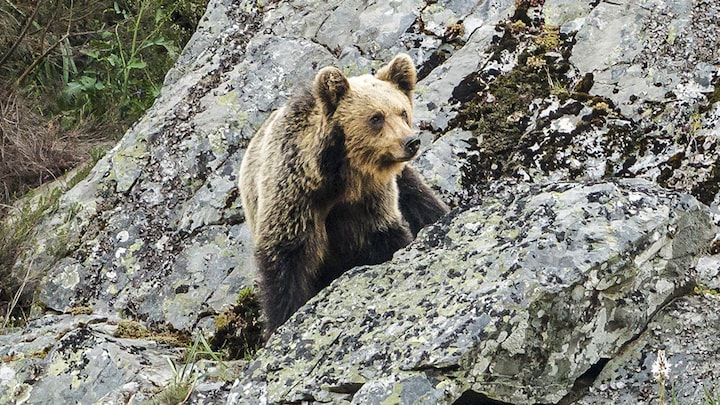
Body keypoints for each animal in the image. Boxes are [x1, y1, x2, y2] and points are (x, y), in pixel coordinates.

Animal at [239, 54, 448, 338]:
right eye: (376, 117)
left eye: (403, 111)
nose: (411, 142)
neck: (340, 178)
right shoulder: (295, 199)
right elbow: (283, 263)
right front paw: (280, 321)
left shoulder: (370, 199)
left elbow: (386, 233)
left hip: (405, 182)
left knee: (422, 202)